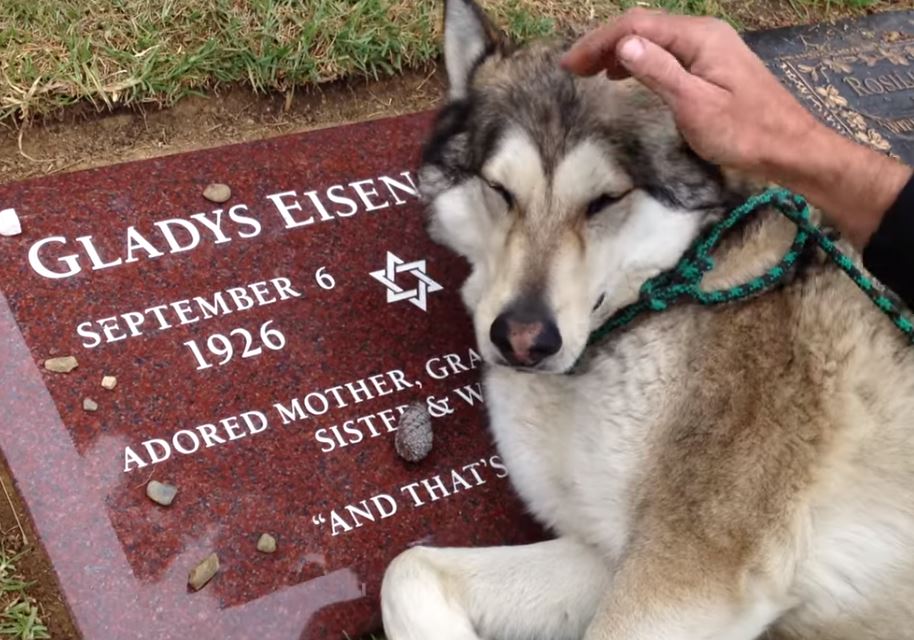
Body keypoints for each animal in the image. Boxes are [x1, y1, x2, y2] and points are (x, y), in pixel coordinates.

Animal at [380, 2, 914, 638]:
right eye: (499, 189)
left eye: (606, 200)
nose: (522, 340)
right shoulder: (605, 553)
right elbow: (406, 567)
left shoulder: (683, 578)